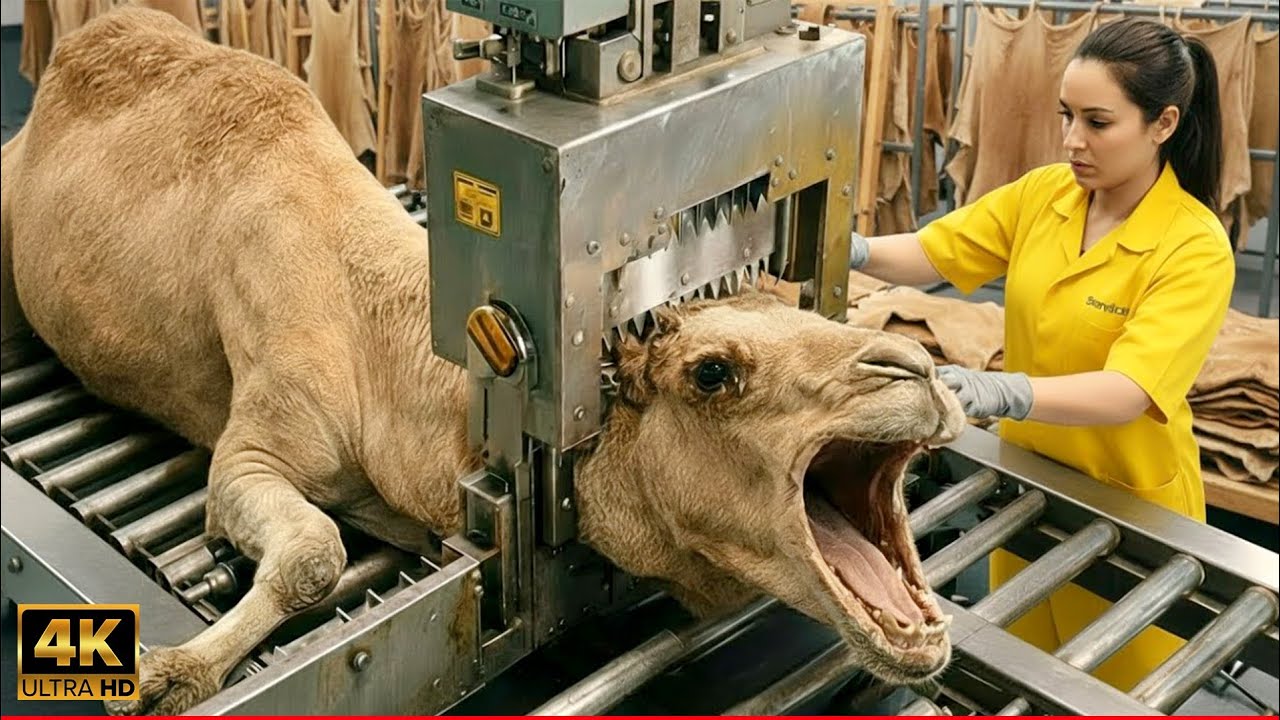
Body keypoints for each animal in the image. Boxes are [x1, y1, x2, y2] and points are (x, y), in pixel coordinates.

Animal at [0, 8, 967, 715]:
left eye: (786, 299)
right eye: (713, 372)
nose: (914, 370)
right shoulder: (261, 436)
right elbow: (313, 551)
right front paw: (171, 675)